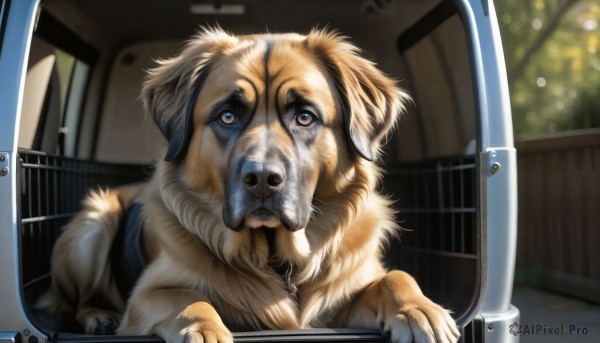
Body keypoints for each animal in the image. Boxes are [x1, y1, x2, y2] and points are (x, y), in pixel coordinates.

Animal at [36, 27, 460, 343]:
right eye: (227, 116)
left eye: (305, 116)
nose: (262, 179)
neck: (276, 258)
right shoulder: (147, 295)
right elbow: (187, 296)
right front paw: (205, 330)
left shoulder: (347, 294)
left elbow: (394, 277)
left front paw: (420, 310)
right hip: (94, 222)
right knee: (79, 299)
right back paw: (98, 316)